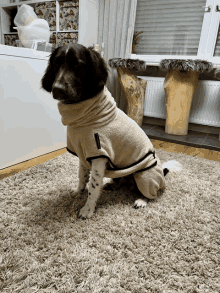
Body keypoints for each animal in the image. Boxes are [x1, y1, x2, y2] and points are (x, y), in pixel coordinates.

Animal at [41, 42, 182, 217]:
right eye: (56, 64)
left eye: (78, 65)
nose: (57, 89)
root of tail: (162, 171)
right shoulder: (83, 153)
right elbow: (82, 177)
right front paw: (78, 192)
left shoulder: (99, 156)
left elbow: (93, 186)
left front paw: (88, 209)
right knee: (122, 183)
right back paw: (111, 185)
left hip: (144, 176)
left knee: (153, 193)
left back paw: (142, 200)